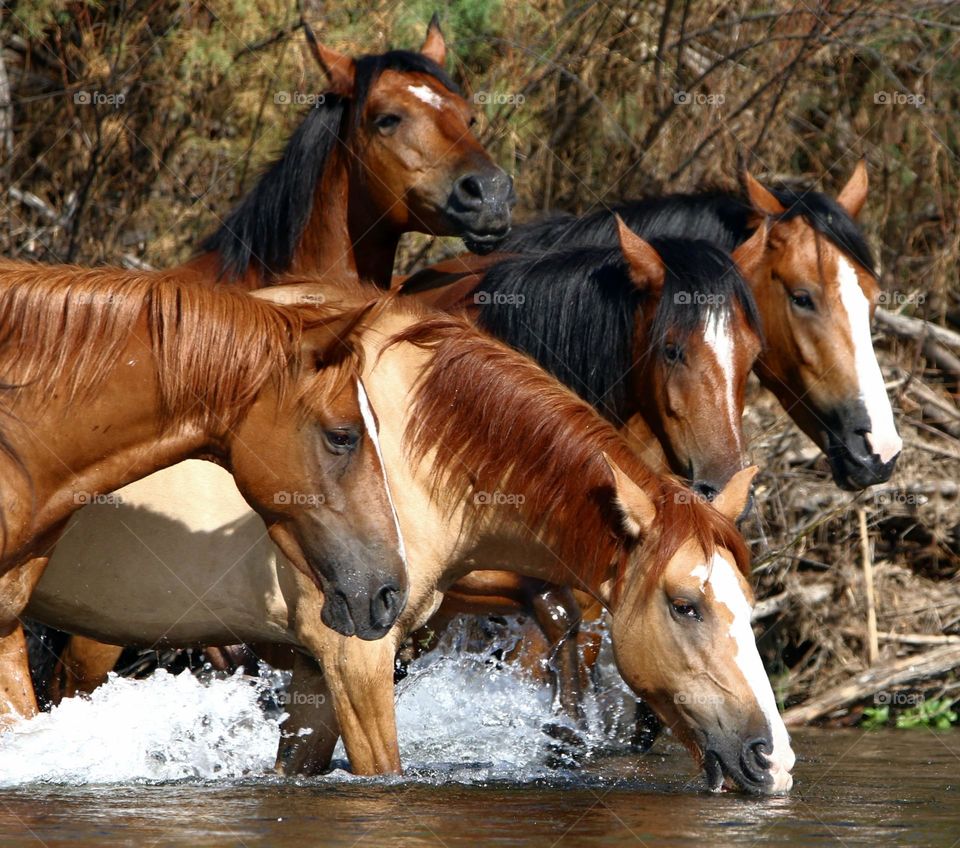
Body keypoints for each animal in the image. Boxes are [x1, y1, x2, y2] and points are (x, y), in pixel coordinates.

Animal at [29, 283, 796, 794]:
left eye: (749, 608)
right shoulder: (357, 656)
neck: (409, 449)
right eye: (684, 605)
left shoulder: (317, 668)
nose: (775, 758)